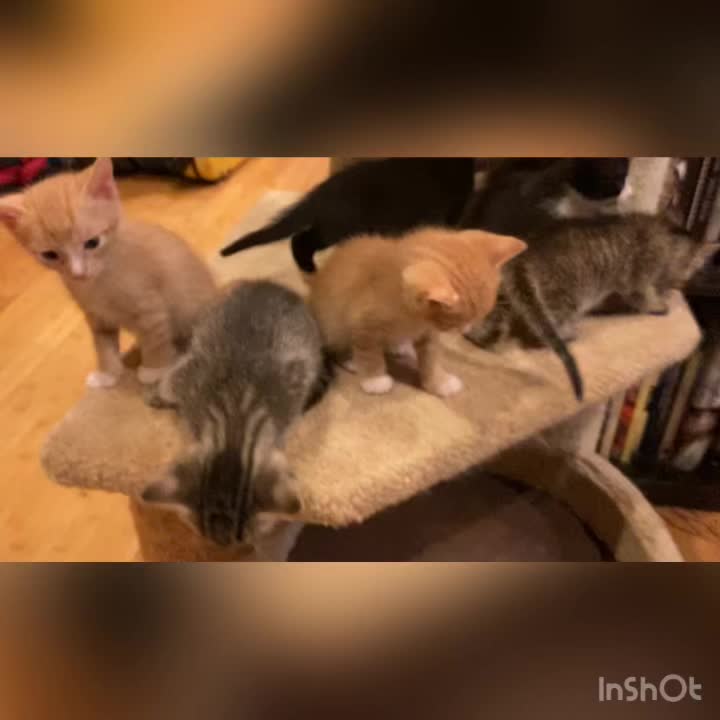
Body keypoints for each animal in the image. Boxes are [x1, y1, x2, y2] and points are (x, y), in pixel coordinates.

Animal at [0, 158, 217, 388]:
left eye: (93, 243)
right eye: (50, 255)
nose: (78, 273)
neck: (98, 280)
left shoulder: (150, 308)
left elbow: (155, 339)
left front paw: (153, 370)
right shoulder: (97, 317)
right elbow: (102, 345)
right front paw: (107, 375)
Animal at [140, 280, 328, 557]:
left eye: (242, 540)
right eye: (203, 536)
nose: (223, 547)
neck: (234, 421)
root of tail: (270, 284)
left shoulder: (296, 382)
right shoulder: (189, 372)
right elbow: (169, 382)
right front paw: (155, 395)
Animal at [307, 226, 527, 396]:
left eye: (478, 317)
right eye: (455, 322)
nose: (466, 330)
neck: (414, 317)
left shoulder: (429, 333)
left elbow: (431, 357)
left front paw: (440, 382)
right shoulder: (362, 322)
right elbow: (369, 352)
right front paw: (375, 379)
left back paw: (399, 346)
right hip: (331, 322)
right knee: (337, 343)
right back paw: (351, 360)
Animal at [465, 213, 717, 401]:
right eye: (681, 276)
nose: (674, 289)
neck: (666, 236)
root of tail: (524, 253)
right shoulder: (639, 278)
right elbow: (643, 295)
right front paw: (658, 305)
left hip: (508, 297)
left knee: (495, 320)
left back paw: (480, 338)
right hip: (566, 298)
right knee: (538, 336)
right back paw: (565, 334)